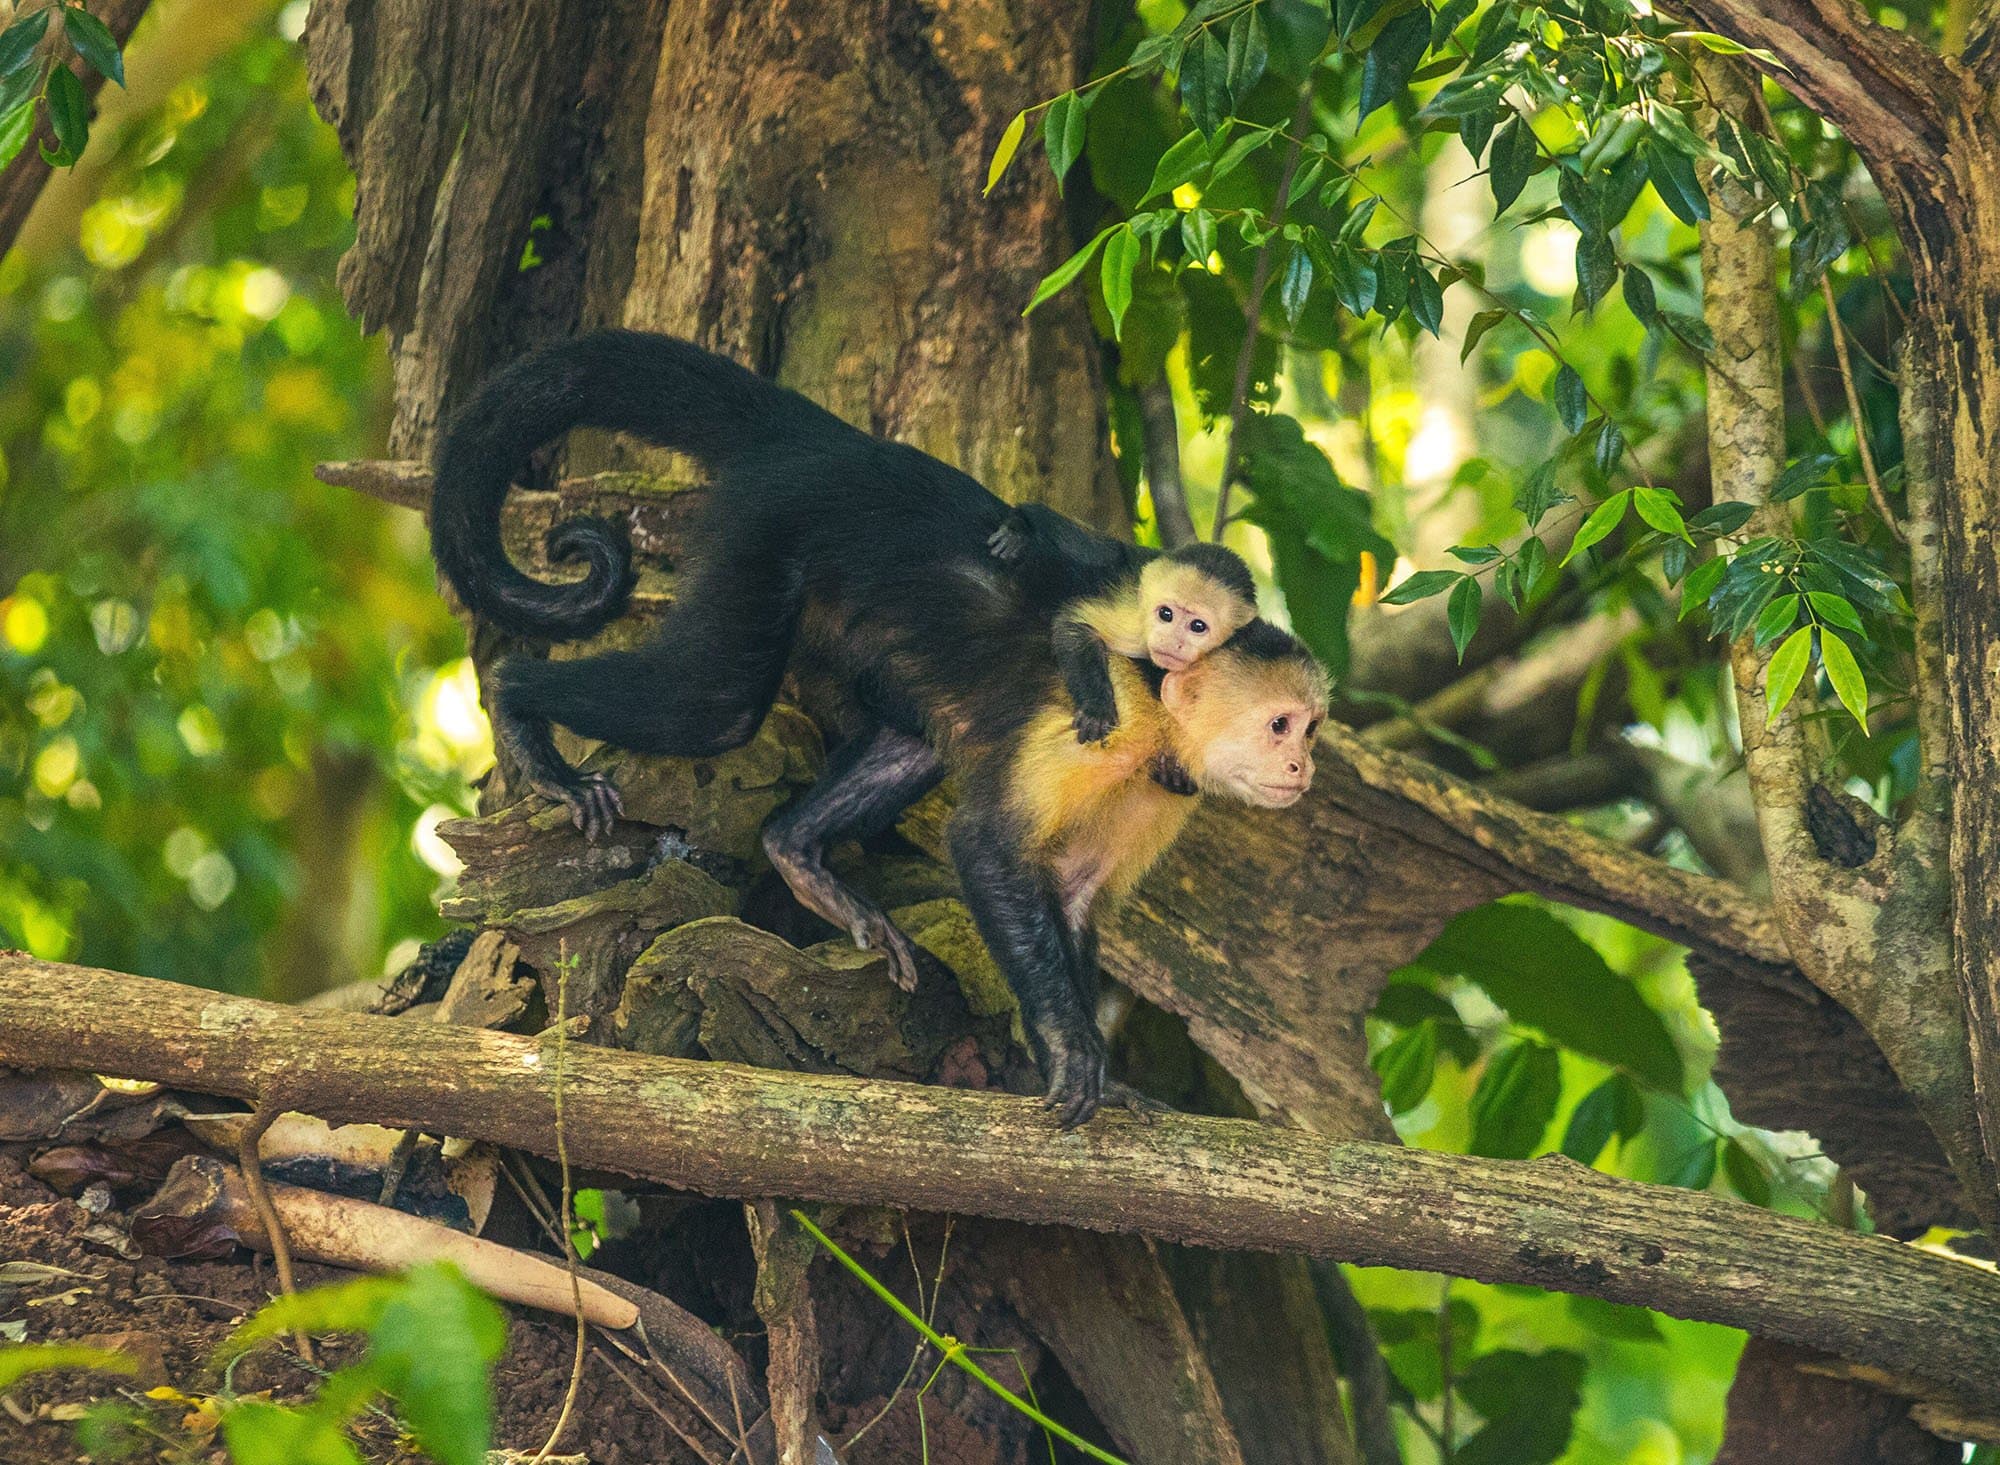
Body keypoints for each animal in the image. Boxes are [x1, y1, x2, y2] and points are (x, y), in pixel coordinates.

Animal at [428, 329, 1327, 1124]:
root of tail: (835, 444)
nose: (1305, 771)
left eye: (1312, 729)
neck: (1161, 715)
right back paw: (521, 706)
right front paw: (1072, 1052)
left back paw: (799, 852)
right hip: (768, 528)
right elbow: (986, 847)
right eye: (1280, 725)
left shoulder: (1162, 790)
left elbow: (1070, 893)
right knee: (714, 703)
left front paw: (1107, 1079)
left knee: (912, 741)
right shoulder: (1106, 720)